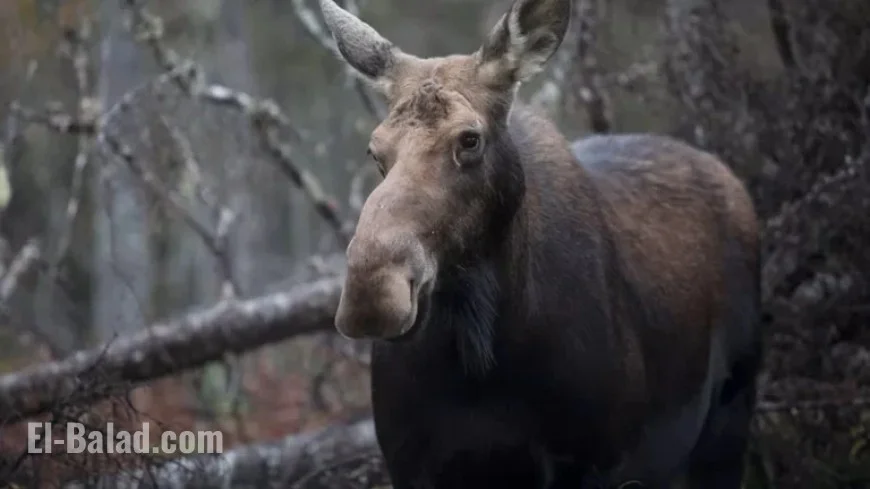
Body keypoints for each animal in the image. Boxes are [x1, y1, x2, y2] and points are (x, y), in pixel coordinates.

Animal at [318, 0, 762, 487]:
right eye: (375, 149)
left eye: (469, 139)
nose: (372, 291)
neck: (480, 358)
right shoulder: (412, 465)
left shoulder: (597, 460)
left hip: (731, 410)